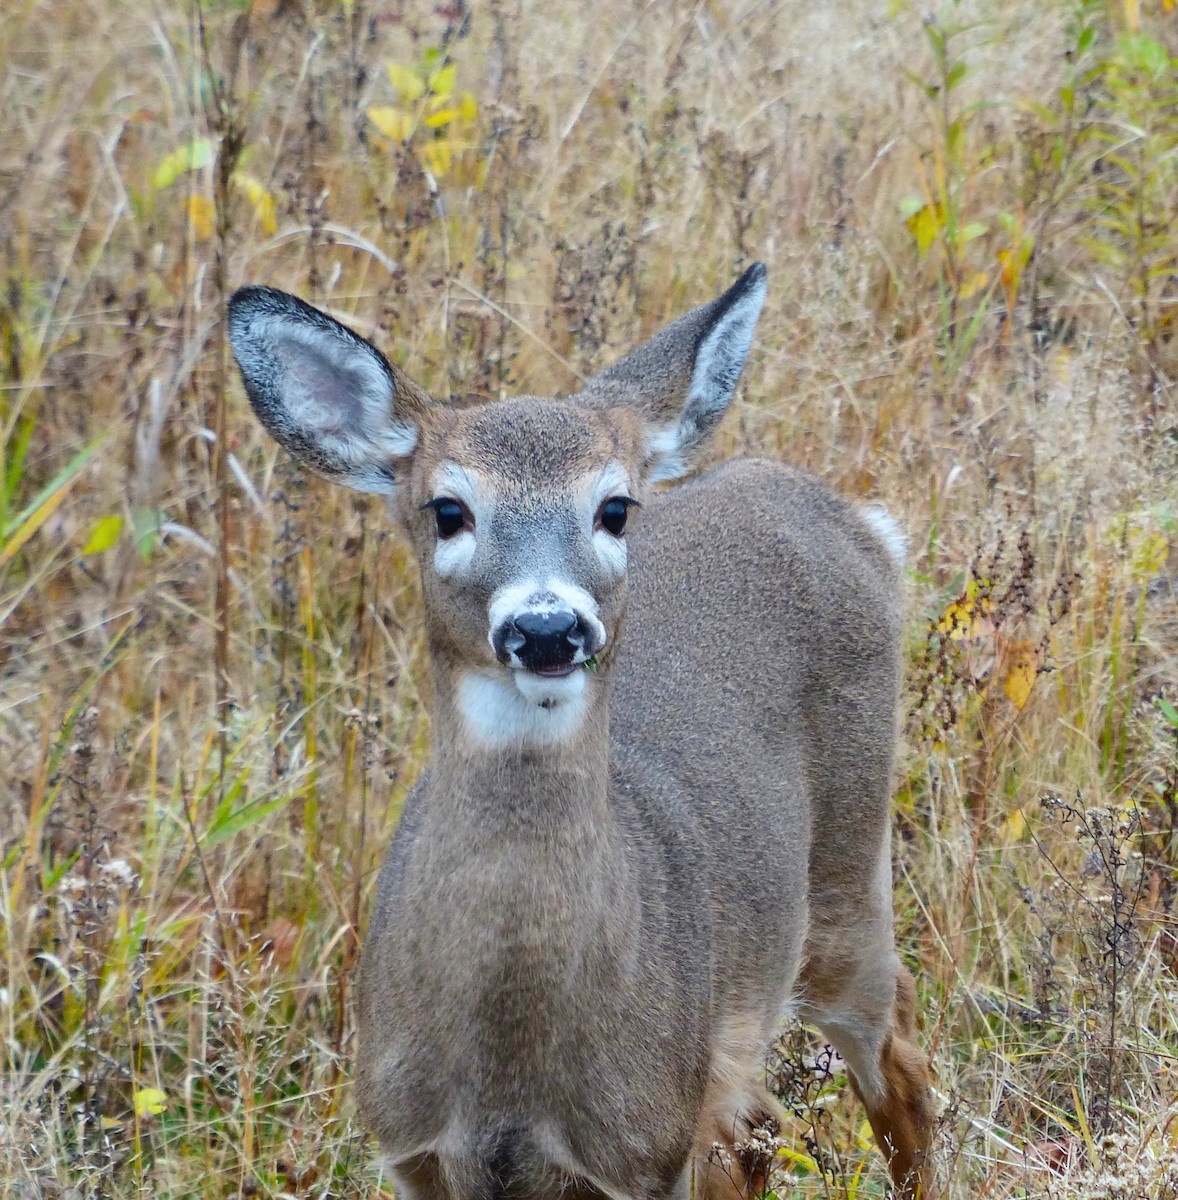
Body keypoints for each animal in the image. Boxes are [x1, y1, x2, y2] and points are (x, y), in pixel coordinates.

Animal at [227, 263, 937, 1200]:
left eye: (616, 508)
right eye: (448, 509)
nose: (548, 627)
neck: (507, 1068)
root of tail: (857, 523)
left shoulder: (643, 1146)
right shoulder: (407, 1142)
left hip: (849, 879)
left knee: (902, 1070)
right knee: (757, 1130)